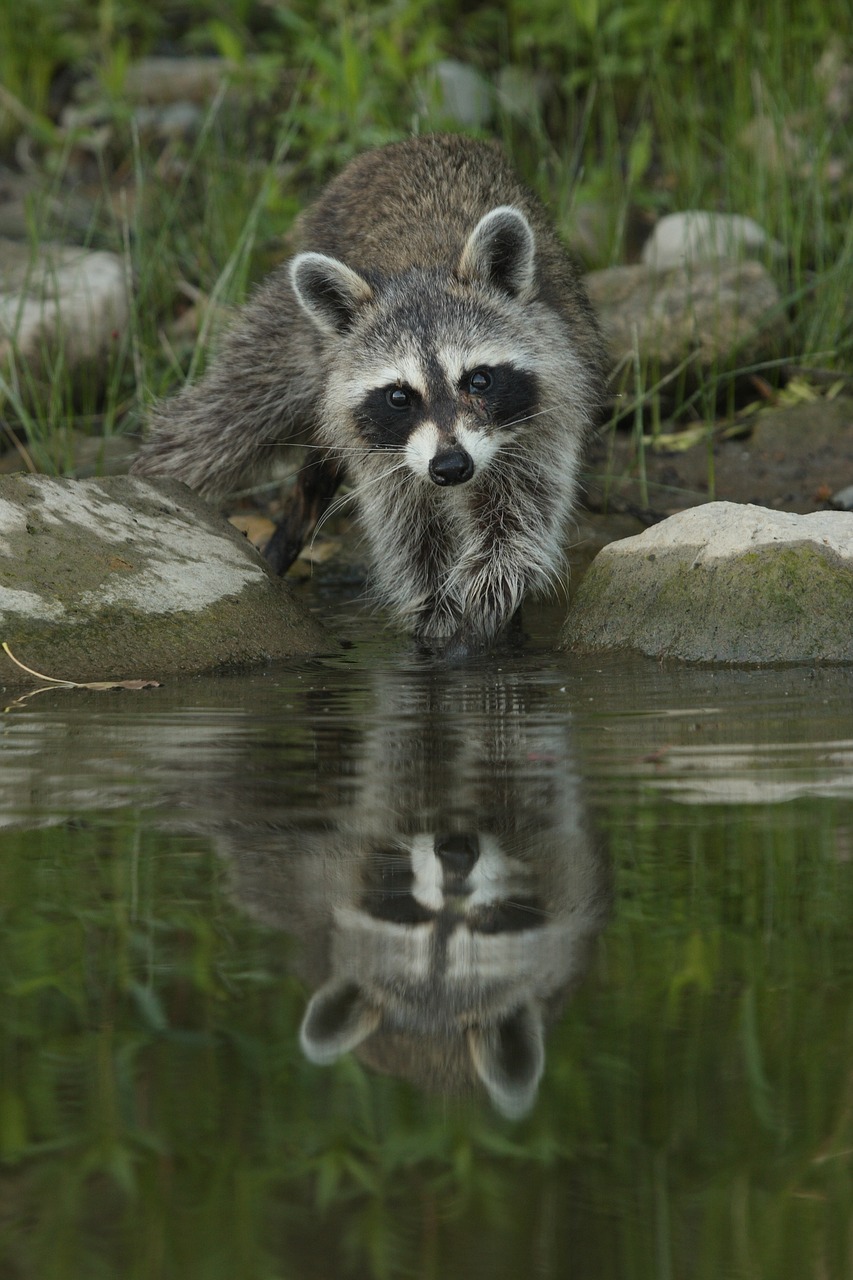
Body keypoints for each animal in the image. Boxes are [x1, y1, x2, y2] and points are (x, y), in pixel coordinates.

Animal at [131, 136, 604, 655]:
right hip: (291, 331)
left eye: (478, 380)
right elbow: (410, 536)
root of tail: (413, 142)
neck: (423, 266)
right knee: (220, 420)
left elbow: (519, 518)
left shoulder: (547, 409)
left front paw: (486, 602)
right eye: (400, 396)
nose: (450, 467)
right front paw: (436, 617)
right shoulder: (384, 457)